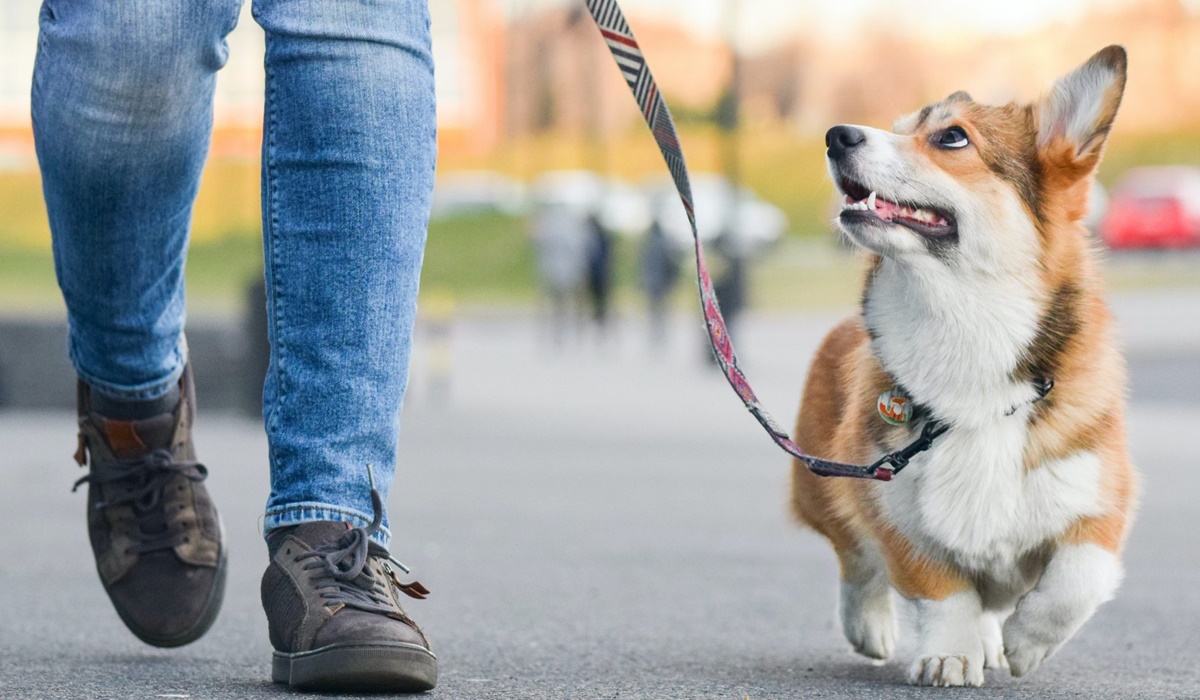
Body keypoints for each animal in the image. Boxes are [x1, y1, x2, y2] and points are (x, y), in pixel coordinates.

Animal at [792, 46, 1137, 686]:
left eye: (951, 136)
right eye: (898, 127)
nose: (836, 134)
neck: (965, 327)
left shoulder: (1102, 497)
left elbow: (1077, 579)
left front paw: (1026, 642)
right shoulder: (892, 504)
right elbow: (941, 591)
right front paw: (949, 654)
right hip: (823, 482)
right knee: (856, 560)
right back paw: (871, 627)